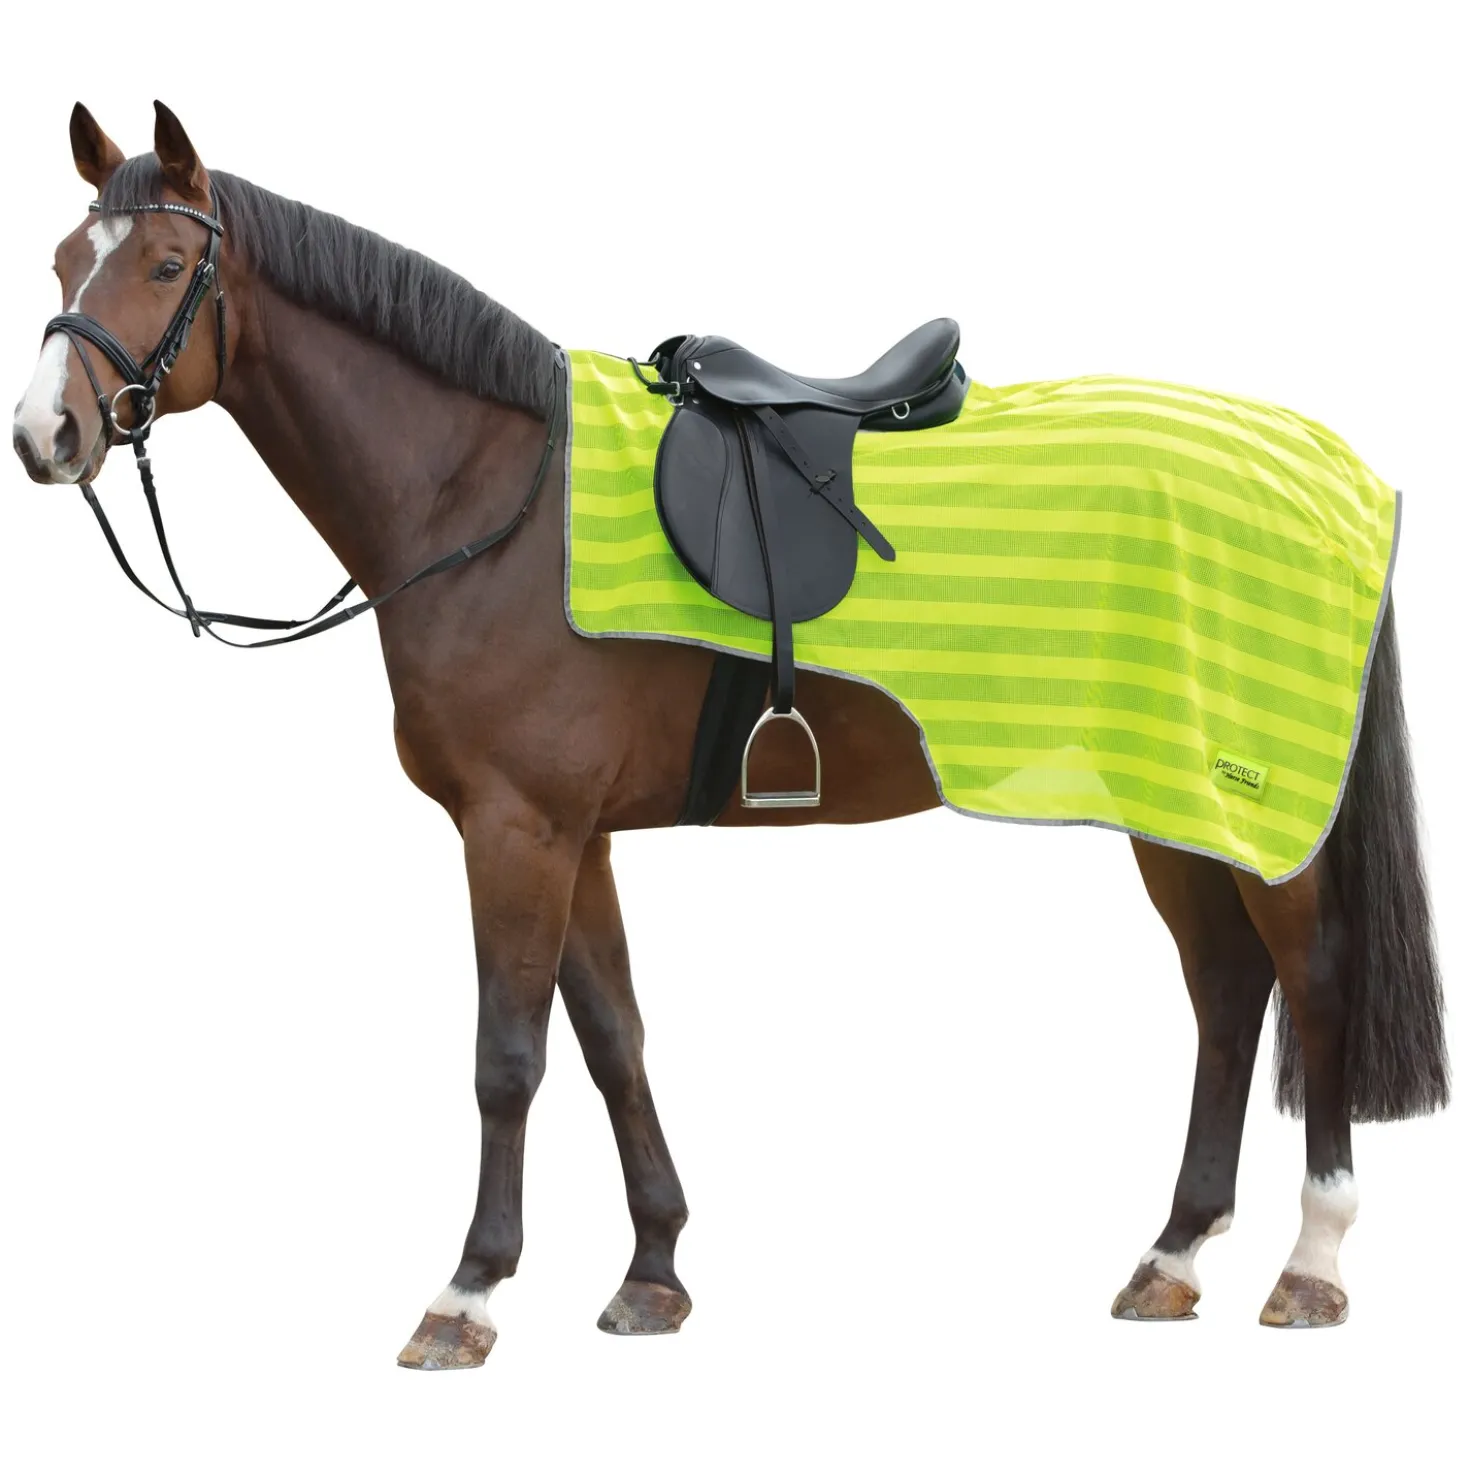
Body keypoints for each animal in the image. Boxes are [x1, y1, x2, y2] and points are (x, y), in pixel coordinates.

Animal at [12, 102, 1448, 1369]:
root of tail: (1325, 469)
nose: (46, 433)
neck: (490, 493)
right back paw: (1173, 1254)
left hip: (1251, 806)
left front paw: (468, 1291)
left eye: (164, 264)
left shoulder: (516, 829)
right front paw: (652, 1270)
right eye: (64, 261)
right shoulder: (574, 835)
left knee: (1312, 980)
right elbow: (613, 1041)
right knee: (1226, 991)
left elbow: (507, 1057)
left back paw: (1310, 1262)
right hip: (1167, 798)